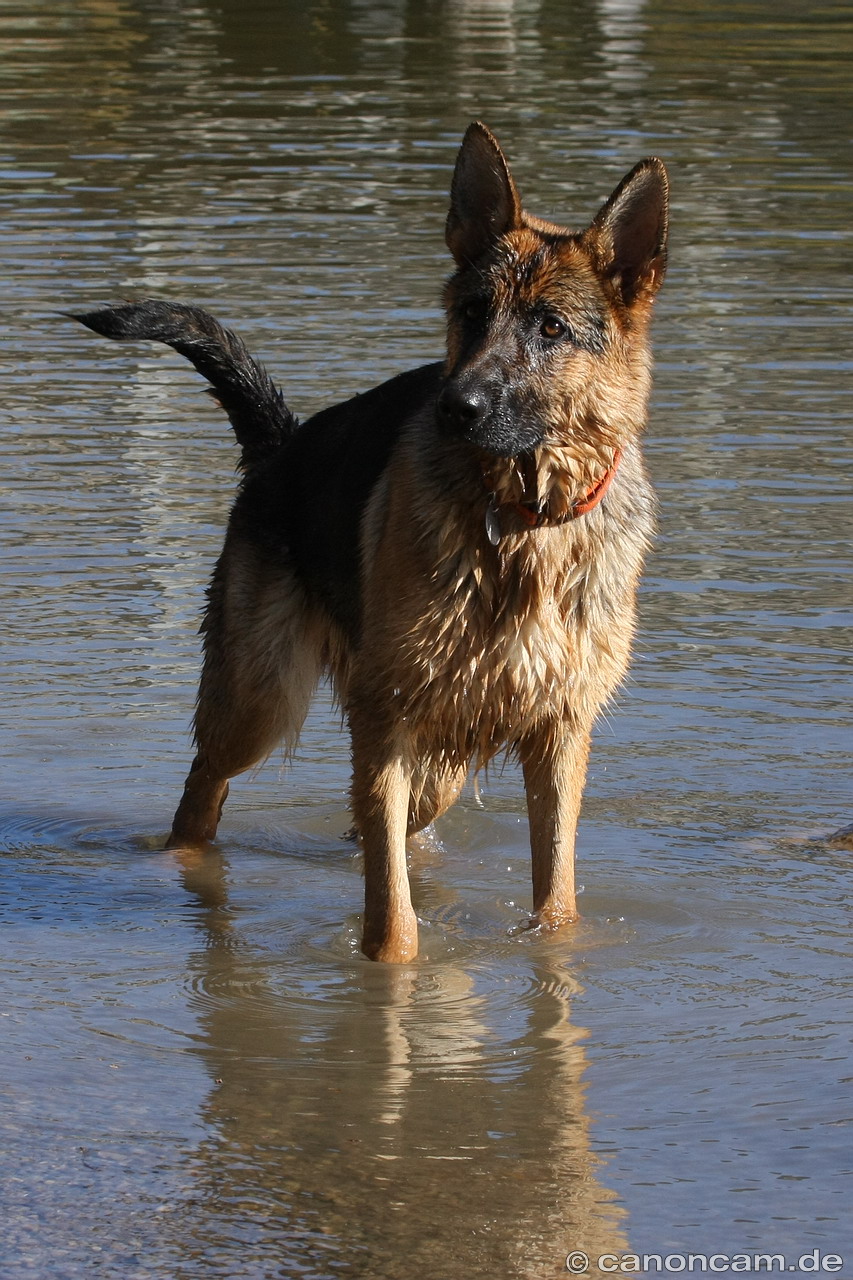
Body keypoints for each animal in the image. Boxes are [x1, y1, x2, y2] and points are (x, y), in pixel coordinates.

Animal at [74, 124, 666, 962]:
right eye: (471, 312)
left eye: (550, 327)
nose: (455, 406)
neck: (520, 521)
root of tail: (283, 446)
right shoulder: (385, 717)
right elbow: (392, 918)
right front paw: (389, 977)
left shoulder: (557, 735)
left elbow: (555, 900)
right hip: (260, 701)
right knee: (203, 795)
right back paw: (178, 869)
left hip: (435, 742)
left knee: (387, 820)